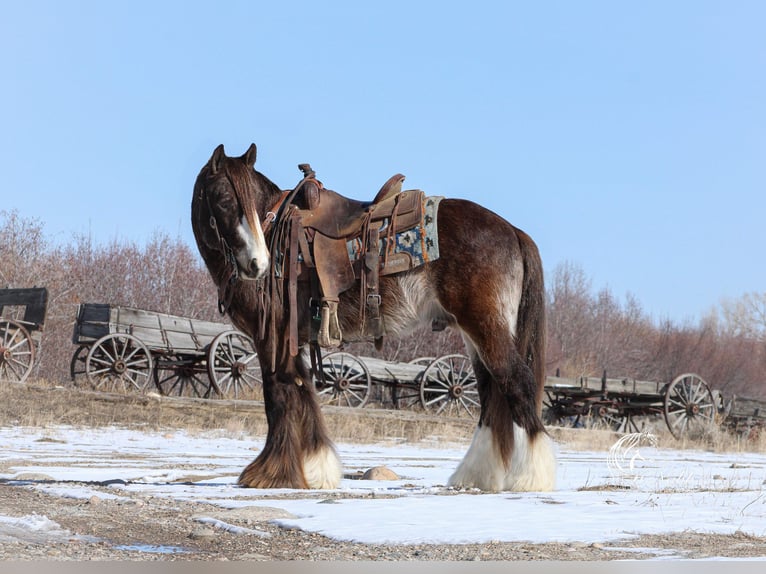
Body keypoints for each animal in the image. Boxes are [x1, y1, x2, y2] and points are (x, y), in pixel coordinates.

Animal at [190, 143, 556, 490]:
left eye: (244, 201)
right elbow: (302, 391)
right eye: (223, 198)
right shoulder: (292, 340)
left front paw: (270, 475)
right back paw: (477, 476)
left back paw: (531, 478)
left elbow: (278, 394)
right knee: (492, 395)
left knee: (518, 385)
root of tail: (512, 230)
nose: (257, 264)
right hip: (476, 335)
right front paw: (316, 469)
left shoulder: (272, 338)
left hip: (485, 328)